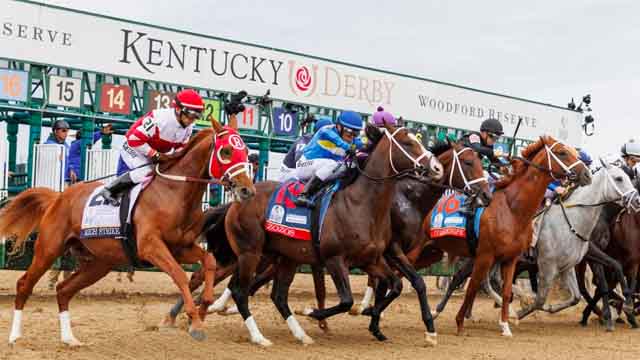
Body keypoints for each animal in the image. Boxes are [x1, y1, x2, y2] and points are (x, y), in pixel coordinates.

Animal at [0, 115, 255, 346]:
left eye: (245, 152)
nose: (247, 190)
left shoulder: (181, 247)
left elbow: (209, 261)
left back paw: (69, 339)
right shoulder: (150, 247)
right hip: (48, 250)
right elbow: (180, 275)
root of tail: (58, 197)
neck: (174, 193)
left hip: (99, 263)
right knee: (24, 285)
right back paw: (15, 336)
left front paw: (204, 308)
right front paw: (195, 323)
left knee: (63, 290)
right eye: (226, 152)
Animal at [218, 123, 442, 346]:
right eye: (407, 142)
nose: (437, 168)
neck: (361, 204)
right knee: (240, 291)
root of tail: (239, 198)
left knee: (278, 296)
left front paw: (371, 315)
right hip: (251, 252)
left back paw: (301, 335)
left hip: (286, 256)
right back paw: (257, 335)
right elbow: (346, 301)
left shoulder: (371, 260)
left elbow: (396, 285)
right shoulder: (334, 259)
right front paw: (311, 311)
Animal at [420, 136, 592, 336]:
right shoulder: (486, 256)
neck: (512, 209)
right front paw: (460, 321)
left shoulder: (511, 258)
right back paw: (438, 312)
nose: (587, 174)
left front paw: (505, 324)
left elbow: (506, 290)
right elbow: (473, 286)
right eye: (562, 153)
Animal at [516, 159, 636, 322]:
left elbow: (613, 269)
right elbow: (603, 281)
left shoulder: (576, 260)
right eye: (619, 178)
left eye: (629, 177)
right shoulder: (578, 257)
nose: (637, 200)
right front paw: (610, 313)